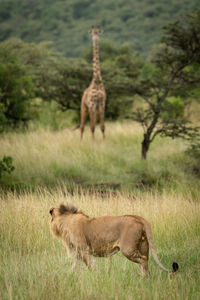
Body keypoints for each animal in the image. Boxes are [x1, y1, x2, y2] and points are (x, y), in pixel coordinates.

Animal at [49, 203, 179, 276]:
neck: (66, 221)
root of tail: (138, 218)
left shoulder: (84, 249)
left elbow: (91, 265)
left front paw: (95, 277)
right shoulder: (77, 252)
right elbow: (75, 266)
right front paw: (68, 275)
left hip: (127, 249)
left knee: (142, 260)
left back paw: (144, 278)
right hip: (143, 245)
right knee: (145, 261)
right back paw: (146, 278)